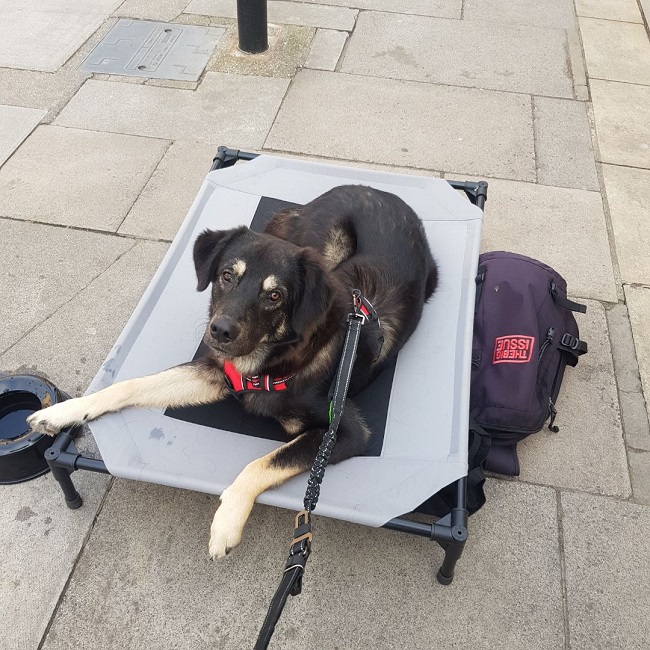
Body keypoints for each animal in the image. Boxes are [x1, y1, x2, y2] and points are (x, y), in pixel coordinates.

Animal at [27, 185, 438, 560]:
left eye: (275, 295)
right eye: (227, 275)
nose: (220, 331)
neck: (275, 358)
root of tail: (373, 188)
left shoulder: (346, 432)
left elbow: (260, 463)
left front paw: (226, 522)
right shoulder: (215, 371)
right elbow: (130, 384)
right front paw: (63, 411)